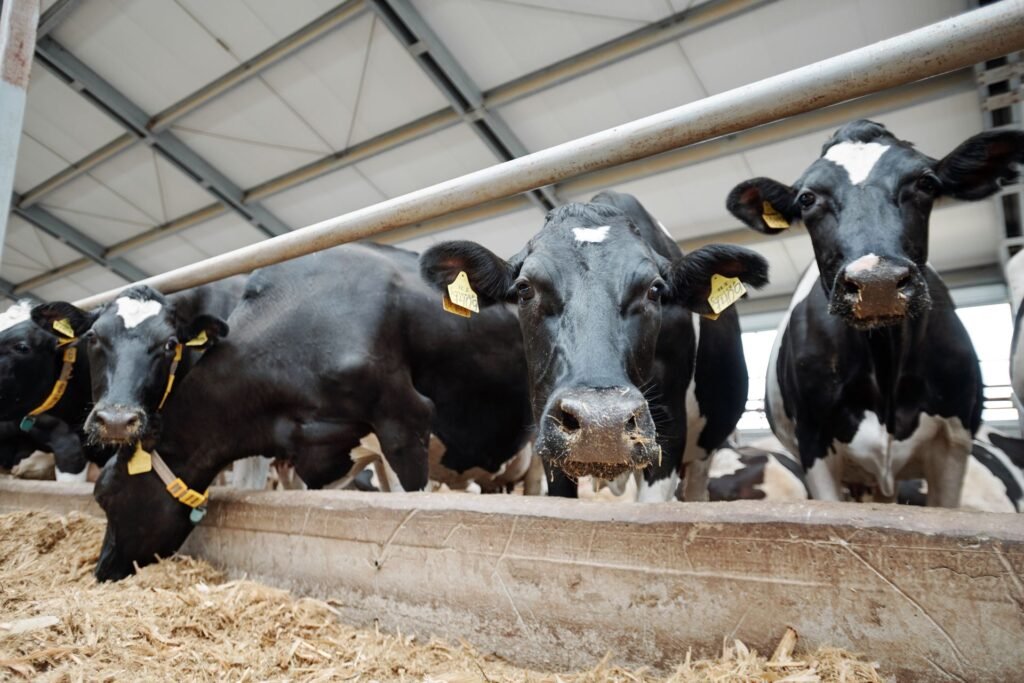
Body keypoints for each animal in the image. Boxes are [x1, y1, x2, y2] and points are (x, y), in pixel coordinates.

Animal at [420, 191, 768, 500]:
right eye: (524, 289)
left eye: (655, 289)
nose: (602, 424)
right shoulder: (549, 436)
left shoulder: (669, 430)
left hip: (705, 448)